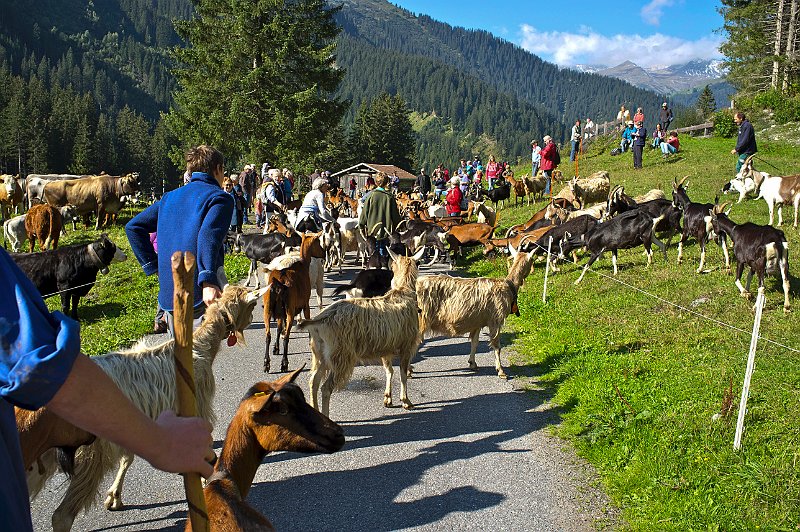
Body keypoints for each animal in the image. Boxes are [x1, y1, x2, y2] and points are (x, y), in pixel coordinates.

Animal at [262, 233, 324, 374]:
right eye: (318, 242)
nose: (324, 253)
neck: (303, 263)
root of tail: (278, 283)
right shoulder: (305, 304)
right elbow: (308, 320)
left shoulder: (280, 313)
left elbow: (279, 328)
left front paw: (276, 348)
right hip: (289, 309)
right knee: (287, 336)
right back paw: (284, 364)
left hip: (268, 309)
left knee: (268, 335)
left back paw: (266, 364)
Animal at [300, 247, 424, 418]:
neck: (403, 292)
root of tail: (319, 320)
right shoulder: (406, 345)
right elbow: (402, 373)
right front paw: (406, 401)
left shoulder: (386, 347)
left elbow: (389, 370)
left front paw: (388, 398)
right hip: (340, 356)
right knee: (326, 387)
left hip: (320, 354)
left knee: (314, 381)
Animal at [416, 244, 536, 378]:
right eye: (532, 260)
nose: (532, 271)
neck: (508, 286)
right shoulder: (495, 320)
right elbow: (497, 346)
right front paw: (501, 371)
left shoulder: (477, 322)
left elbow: (475, 342)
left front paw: (472, 363)